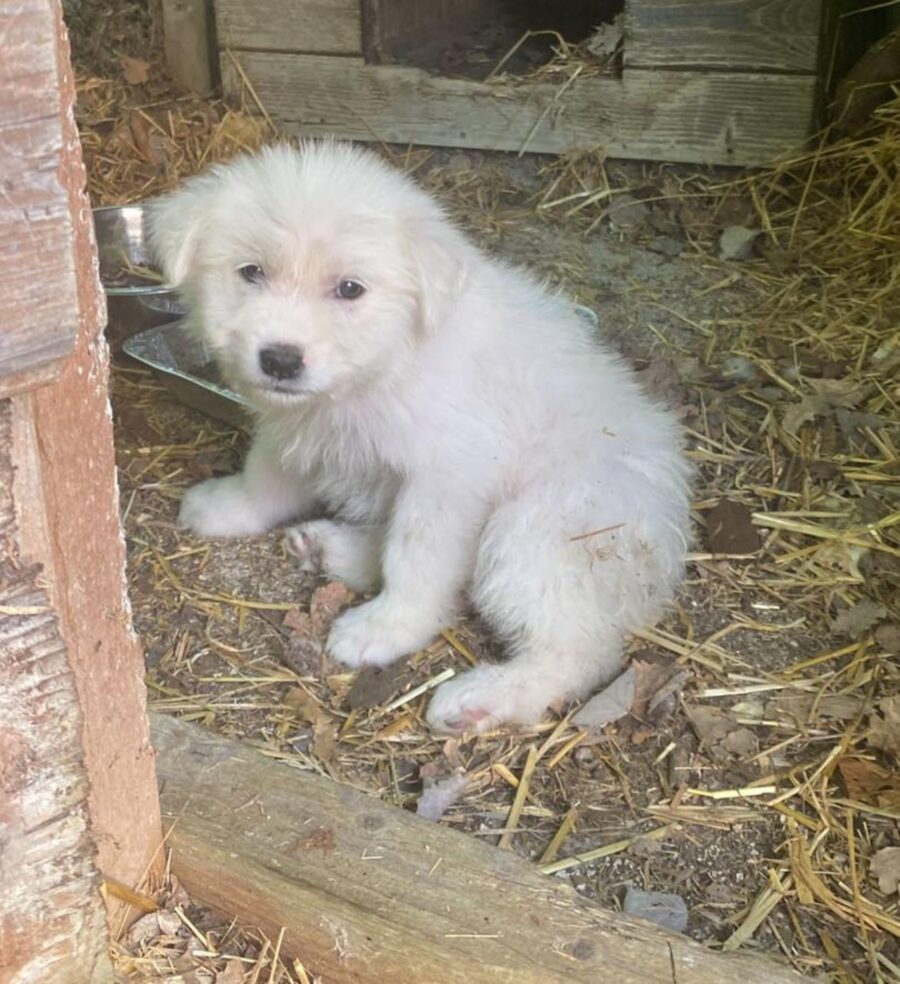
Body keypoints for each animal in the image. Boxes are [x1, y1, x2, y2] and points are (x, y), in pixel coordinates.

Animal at [151, 142, 692, 736]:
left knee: (574, 649)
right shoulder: (299, 426)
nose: (281, 360)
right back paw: (327, 547)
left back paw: (481, 697)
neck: (383, 366)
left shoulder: (446, 476)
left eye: (350, 289)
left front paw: (387, 628)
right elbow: (267, 475)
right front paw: (228, 507)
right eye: (251, 272)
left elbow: (416, 558)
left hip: (539, 531)